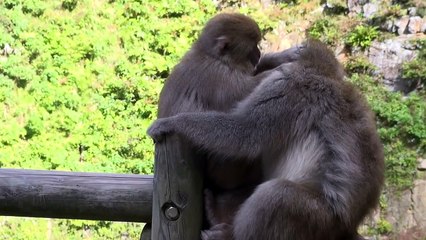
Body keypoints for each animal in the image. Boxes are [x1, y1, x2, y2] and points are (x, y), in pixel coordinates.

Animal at [149, 40, 386, 239]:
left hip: (318, 219)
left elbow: (244, 134)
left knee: (276, 196)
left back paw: (230, 232)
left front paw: (173, 123)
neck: (324, 74)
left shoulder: (288, 87)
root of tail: (348, 226)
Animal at [156, 12, 302, 230]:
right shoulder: (215, 75)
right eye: (252, 47)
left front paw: (282, 57)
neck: (213, 56)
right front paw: (284, 68)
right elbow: (243, 94)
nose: (258, 54)